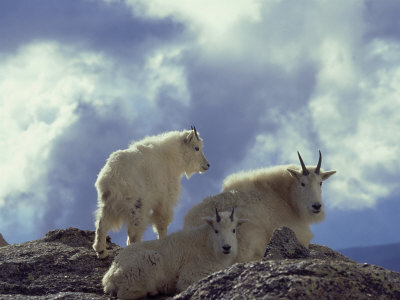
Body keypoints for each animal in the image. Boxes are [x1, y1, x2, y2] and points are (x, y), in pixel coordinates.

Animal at [93, 125, 209, 258]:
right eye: (196, 148)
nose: (207, 165)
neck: (171, 157)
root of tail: (111, 177)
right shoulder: (164, 198)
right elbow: (162, 221)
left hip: (108, 204)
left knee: (102, 224)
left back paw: (101, 251)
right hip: (137, 205)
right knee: (134, 232)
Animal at [102, 207, 247, 298]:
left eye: (233, 230)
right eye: (216, 230)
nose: (227, 247)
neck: (208, 245)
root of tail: (109, 277)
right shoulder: (190, 276)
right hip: (144, 266)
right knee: (125, 293)